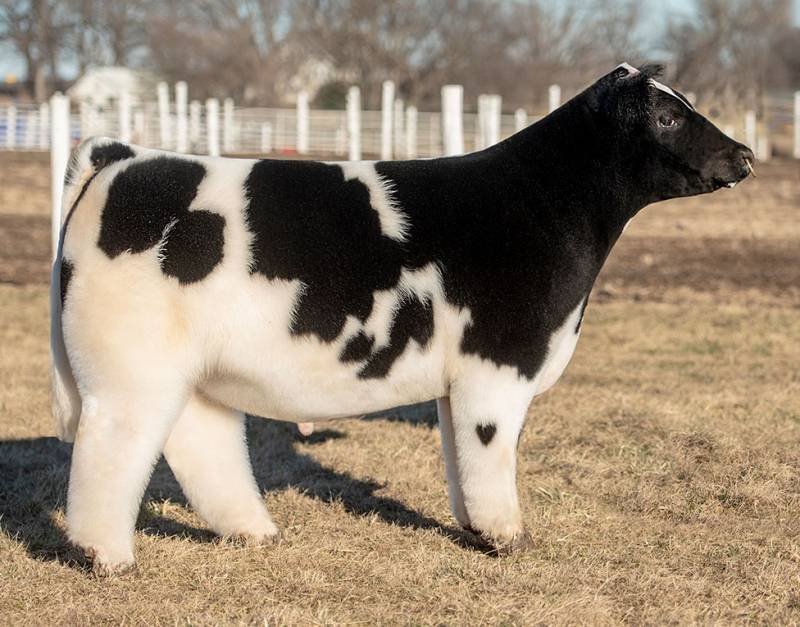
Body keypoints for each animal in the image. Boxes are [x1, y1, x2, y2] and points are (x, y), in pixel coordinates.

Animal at [50, 64, 753, 575]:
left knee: (201, 441)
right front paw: (508, 538)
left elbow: (460, 458)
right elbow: (491, 454)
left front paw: (474, 530)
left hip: (191, 370)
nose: (744, 154)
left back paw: (254, 533)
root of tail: (124, 156)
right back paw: (107, 557)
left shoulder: (460, 381)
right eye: (667, 115)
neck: (539, 205)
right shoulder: (498, 365)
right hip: (130, 370)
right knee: (112, 450)